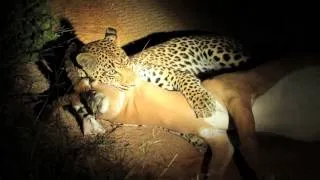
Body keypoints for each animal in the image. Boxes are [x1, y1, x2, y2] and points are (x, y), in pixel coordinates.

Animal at [75, 27, 250, 122]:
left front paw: (203, 103)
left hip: (222, 53)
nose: (134, 82)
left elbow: (187, 78)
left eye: (126, 62)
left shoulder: (168, 72)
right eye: (112, 72)